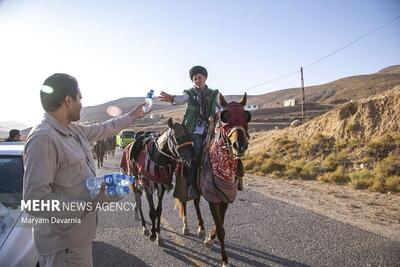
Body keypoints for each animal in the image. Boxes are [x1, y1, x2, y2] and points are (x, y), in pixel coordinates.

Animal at [120, 119, 194, 247]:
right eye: (177, 137)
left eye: (189, 134)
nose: (191, 159)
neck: (157, 158)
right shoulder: (147, 187)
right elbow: (152, 212)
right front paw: (153, 234)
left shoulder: (161, 188)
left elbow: (158, 211)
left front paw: (159, 235)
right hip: (136, 184)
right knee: (139, 204)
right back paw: (144, 227)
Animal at [202, 93, 252, 266]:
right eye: (225, 117)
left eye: (246, 116)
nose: (240, 145)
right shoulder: (212, 199)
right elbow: (221, 229)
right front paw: (224, 259)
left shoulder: (224, 198)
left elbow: (220, 225)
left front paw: (209, 239)